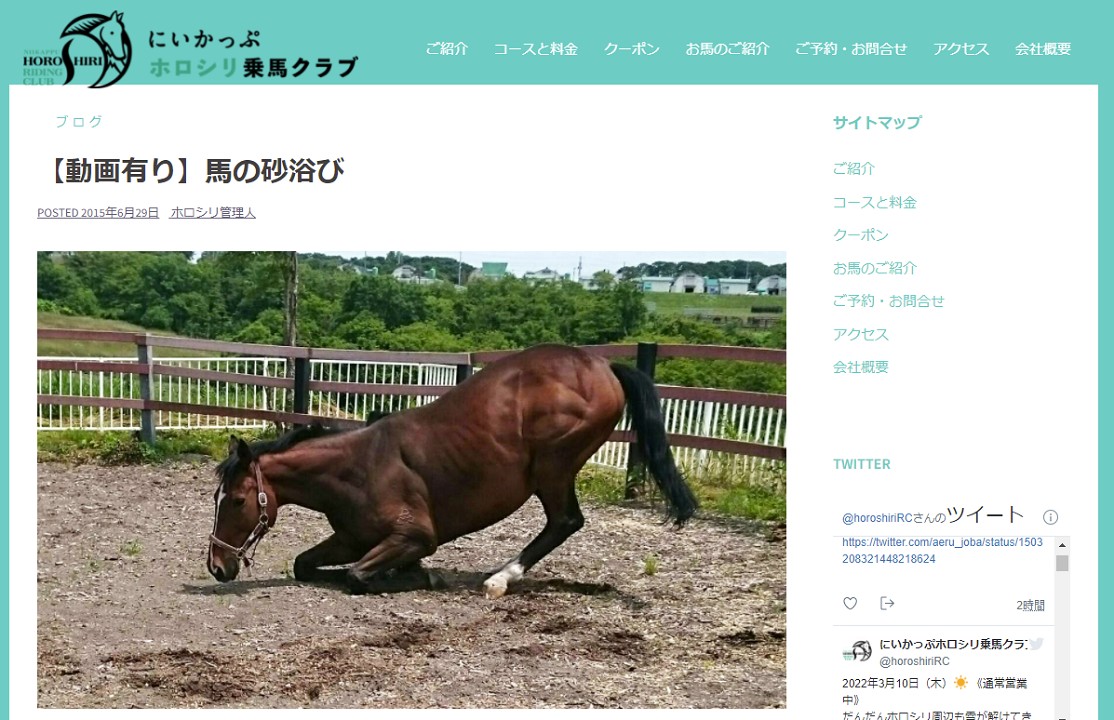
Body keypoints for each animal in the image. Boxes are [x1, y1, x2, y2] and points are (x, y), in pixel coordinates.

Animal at [208, 344, 698, 598]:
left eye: (237, 500)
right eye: (217, 499)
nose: (216, 566)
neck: (357, 467)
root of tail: (601, 364)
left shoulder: (414, 535)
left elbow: (357, 575)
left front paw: (414, 575)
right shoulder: (352, 538)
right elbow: (304, 565)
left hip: (553, 468)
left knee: (565, 521)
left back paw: (500, 579)